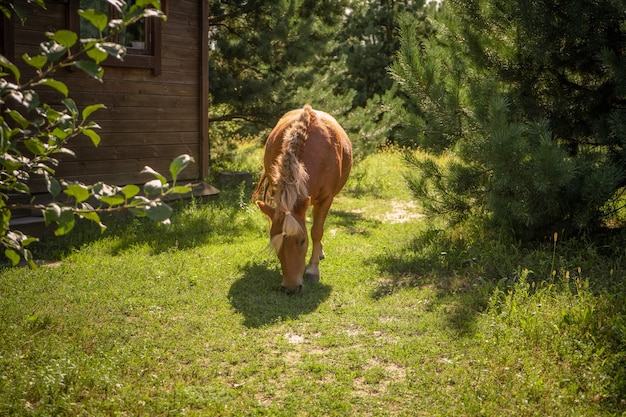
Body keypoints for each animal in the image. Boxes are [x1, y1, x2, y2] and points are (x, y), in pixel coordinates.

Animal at [252, 104, 352, 292]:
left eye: (302, 240)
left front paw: (313, 270)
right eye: (275, 243)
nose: (291, 288)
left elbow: (317, 231)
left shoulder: (326, 198)